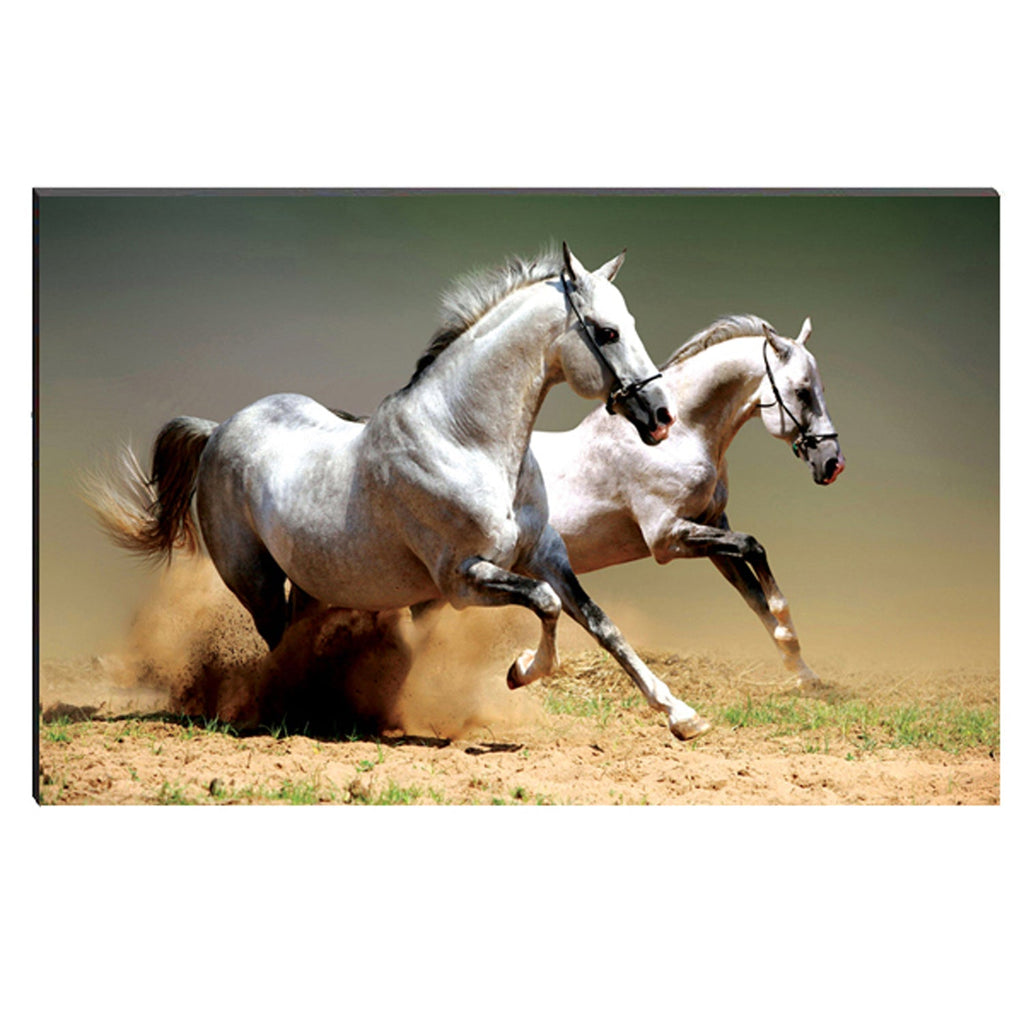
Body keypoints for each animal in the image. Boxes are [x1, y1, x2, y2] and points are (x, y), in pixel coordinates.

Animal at [88, 245, 713, 741]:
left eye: (629, 321)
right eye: (607, 331)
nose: (661, 417)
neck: (466, 440)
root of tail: (218, 429)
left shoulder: (545, 555)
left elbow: (601, 624)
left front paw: (683, 716)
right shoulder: (463, 579)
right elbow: (546, 604)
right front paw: (519, 671)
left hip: (314, 582)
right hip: (256, 581)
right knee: (277, 644)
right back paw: (291, 711)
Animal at [530, 314, 845, 683]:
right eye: (802, 392)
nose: (833, 463)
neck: (679, 437)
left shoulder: (711, 527)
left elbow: (753, 594)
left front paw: (802, 671)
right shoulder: (667, 538)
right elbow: (753, 547)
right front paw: (787, 630)